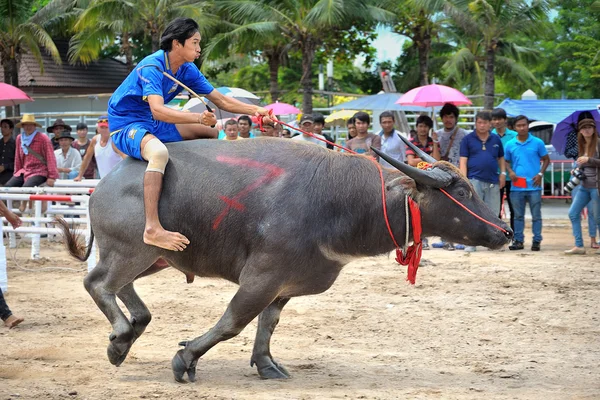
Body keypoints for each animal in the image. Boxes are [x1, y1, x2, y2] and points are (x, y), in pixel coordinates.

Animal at [58, 134, 512, 382]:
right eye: (461, 191)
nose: (506, 231)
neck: (340, 200)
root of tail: (102, 185)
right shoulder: (261, 275)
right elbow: (232, 322)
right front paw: (185, 359)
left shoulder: (284, 283)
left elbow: (268, 324)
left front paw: (266, 365)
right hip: (134, 248)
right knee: (97, 282)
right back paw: (121, 336)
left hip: (157, 257)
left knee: (122, 288)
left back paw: (129, 332)